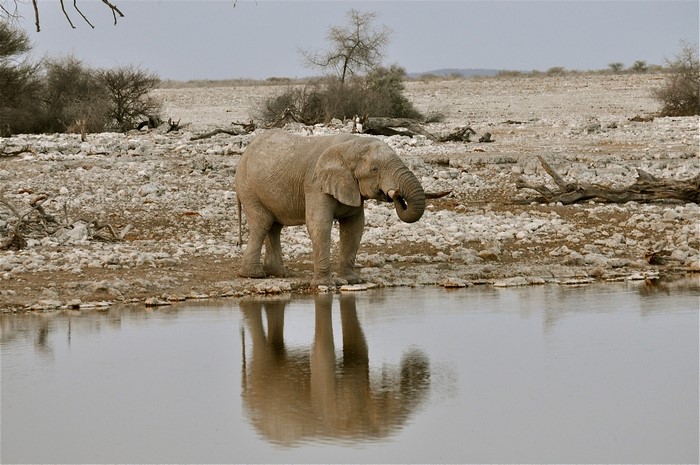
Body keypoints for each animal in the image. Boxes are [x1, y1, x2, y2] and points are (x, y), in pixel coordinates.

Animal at [235, 129, 427, 286]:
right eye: (374, 169)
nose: (395, 194)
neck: (351, 146)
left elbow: (354, 227)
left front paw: (352, 281)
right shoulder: (315, 184)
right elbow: (320, 225)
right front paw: (324, 285)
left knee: (274, 226)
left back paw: (279, 274)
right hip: (248, 187)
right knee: (262, 223)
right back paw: (254, 275)